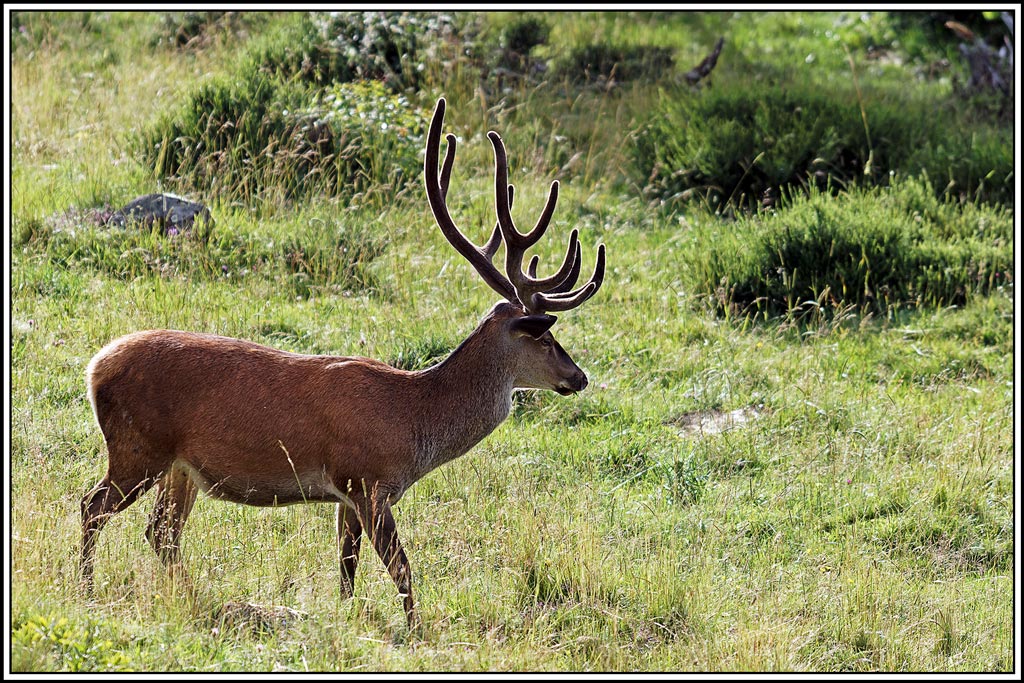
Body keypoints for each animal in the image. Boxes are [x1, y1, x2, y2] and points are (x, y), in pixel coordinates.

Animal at [79, 97, 605, 629]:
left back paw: (192, 599)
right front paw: (415, 630)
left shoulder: (347, 495)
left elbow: (347, 567)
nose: (579, 377)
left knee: (160, 533)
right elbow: (401, 568)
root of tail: (95, 367)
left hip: (178, 467)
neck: (414, 421)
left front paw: (347, 618)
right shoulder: (365, 478)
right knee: (93, 506)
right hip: (138, 445)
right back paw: (87, 589)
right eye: (546, 338)